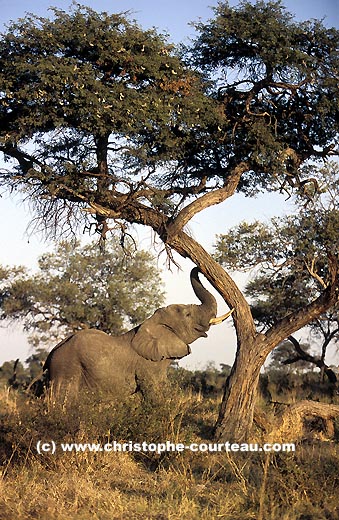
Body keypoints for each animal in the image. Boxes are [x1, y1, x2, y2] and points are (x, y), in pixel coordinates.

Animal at [43, 268, 234, 402]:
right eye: (187, 315)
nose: (200, 268)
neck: (151, 322)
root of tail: (52, 353)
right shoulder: (147, 365)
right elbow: (154, 394)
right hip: (66, 368)